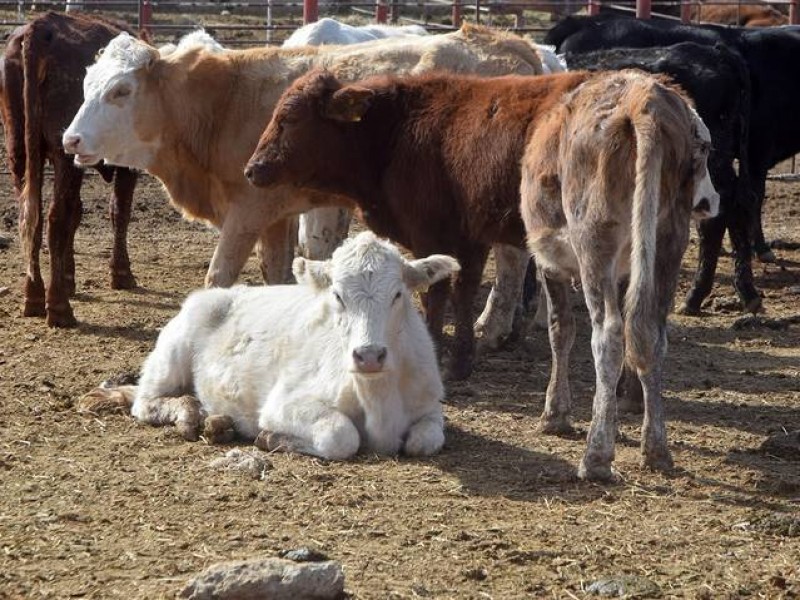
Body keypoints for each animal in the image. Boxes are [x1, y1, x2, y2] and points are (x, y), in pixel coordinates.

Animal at [0, 10, 140, 328]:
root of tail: (41, 28)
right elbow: (119, 211)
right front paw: (121, 273)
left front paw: (68, 277)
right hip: (64, 155)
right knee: (55, 219)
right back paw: (59, 307)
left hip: (20, 150)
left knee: (32, 217)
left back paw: (34, 296)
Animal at [83, 232, 456, 458]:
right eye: (337, 295)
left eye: (398, 295)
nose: (369, 356)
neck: (378, 398)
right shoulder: (283, 404)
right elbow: (341, 435)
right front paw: (272, 438)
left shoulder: (429, 407)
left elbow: (426, 440)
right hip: (171, 355)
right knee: (146, 402)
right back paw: (189, 414)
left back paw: (215, 420)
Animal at [520, 70, 720, 480]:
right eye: (706, 149)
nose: (709, 203)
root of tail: (642, 100)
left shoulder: (550, 262)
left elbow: (560, 330)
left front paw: (555, 413)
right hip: (668, 240)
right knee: (650, 334)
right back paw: (656, 449)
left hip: (593, 240)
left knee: (609, 335)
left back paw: (596, 456)